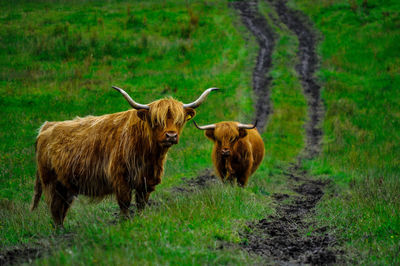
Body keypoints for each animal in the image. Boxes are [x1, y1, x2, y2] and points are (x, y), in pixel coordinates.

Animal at [30, 87, 219, 227]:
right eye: (156, 121)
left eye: (179, 121)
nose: (171, 136)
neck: (149, 155)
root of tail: (46, 127)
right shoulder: (121, 179)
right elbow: (125, 204)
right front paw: (125, 222)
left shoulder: (146, 182)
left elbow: (142, 203)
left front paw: (141, 219)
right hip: (51, 183)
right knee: (55, 209)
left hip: (66, 186)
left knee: (62, 210)